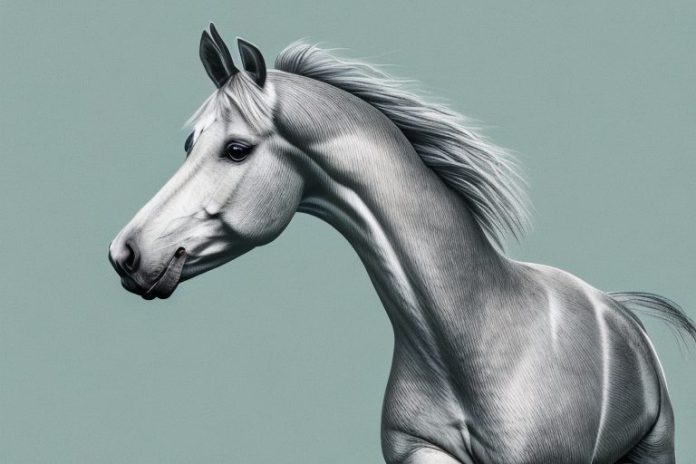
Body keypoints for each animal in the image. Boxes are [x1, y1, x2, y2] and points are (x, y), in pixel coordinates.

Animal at [108, 24, 696, 464]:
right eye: (191, 143)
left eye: (236, 149)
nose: (125, 254)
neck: (469, 336)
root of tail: (619, 313)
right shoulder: (422, 452)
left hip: (654, 449)